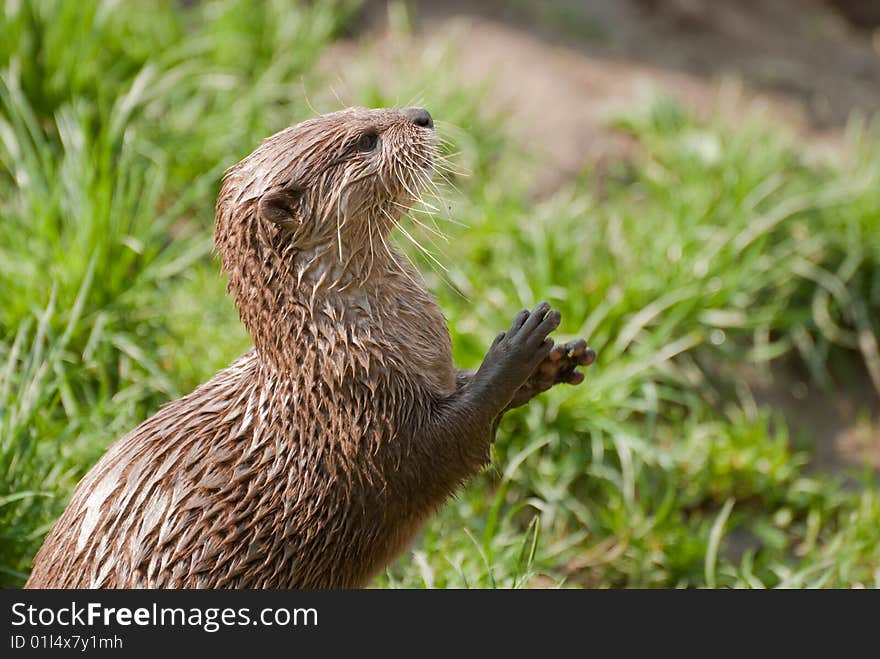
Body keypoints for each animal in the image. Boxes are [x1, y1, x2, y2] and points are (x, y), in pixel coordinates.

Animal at [24, 107, 596, 588]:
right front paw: (515, 350)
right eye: (365, 140)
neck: (337, 343)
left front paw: (551, 363)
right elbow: (444, 448)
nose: (422, 114)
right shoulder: (360, 418)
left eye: (363, 109)